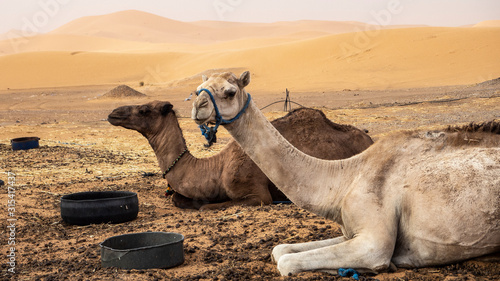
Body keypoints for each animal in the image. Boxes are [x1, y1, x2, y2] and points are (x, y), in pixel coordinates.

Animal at [107, 99, 374, 209]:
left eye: (143, 110)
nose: (113, 113)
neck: (217, 167)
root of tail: (370, 138)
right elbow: (179, 199)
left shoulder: (257, 194)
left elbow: (206, 208)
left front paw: (201, 205)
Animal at [191, 71, 500, 274]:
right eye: (199, 89)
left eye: (230, 92)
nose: (197, 106)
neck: (346, 177)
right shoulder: (350, 231)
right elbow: (281, 250)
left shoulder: (373, 243)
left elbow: (286, 262)